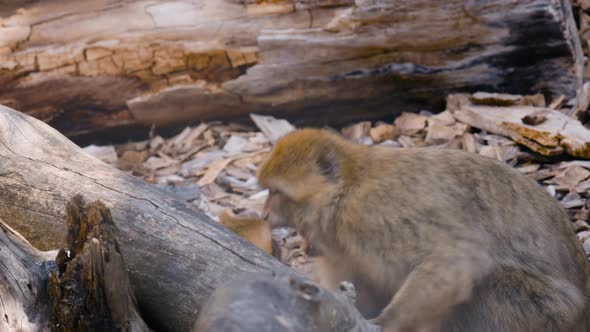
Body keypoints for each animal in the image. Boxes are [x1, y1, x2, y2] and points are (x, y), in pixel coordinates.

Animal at [258, 128, 590, 330]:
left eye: (275, 193)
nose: (264, 213)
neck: (348, 189)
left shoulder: (374, 211)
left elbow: (457, 260)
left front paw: (385, 324)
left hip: (551, 313)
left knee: (494, 281)